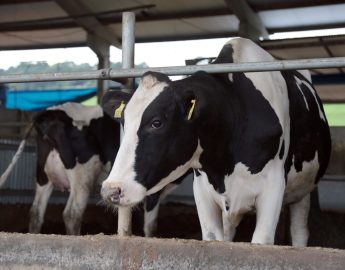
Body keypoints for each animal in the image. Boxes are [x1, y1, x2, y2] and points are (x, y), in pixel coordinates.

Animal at [27, 102, 176, 235]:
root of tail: (52, 114)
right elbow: (151, 226)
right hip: (82, 178)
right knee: (72, 214)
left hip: (42, 176)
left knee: (36, 213)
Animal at [100, 38, 330, 247]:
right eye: (123, 121)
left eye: (157, 122)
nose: (111, 190)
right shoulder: (202, 190)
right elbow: (214, 239)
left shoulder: (273, 186)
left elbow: (262, 241)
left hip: (303, 190)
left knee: (299, 231)